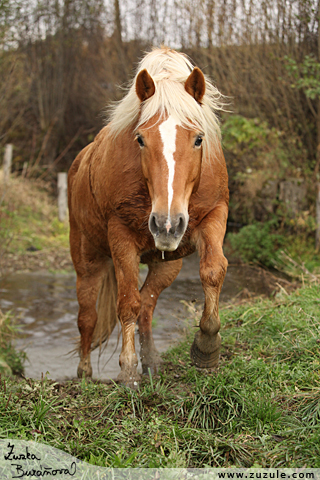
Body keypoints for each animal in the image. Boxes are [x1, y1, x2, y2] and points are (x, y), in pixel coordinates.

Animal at [68, 47, 228, 388]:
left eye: (198, 139)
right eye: (140, 139)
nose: (167, 224)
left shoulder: (214, 215)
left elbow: (213, 271)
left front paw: (207, 349)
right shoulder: (121, 237)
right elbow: (126, 302)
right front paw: (128, 371)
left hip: (166, 264)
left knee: (147, 305)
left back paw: (152, 361)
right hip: (88, 262)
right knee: (88, 317)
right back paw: (85, 373)